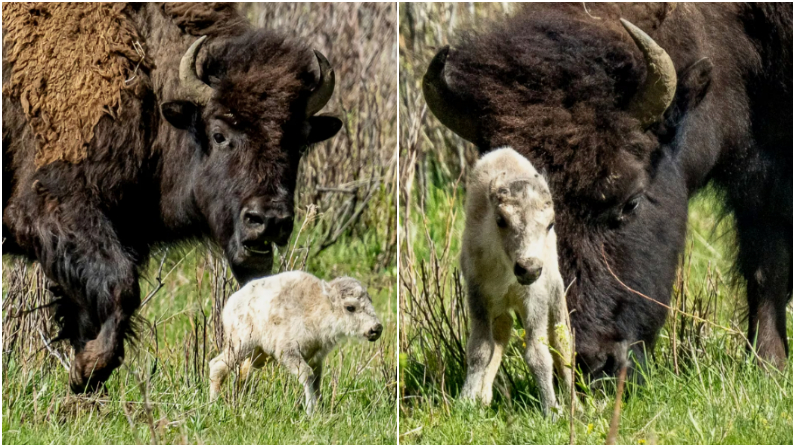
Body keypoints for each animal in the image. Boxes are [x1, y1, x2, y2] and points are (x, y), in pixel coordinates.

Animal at [3, 3, 346, 394]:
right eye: (219, 134)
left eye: (300, 143)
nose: (269, 220)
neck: (145, 79)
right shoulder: (50, 208)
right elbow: (121, 286)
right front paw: (90, 368)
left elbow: (91, 307)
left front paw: (85, 376)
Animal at [208, 272, 382, 414]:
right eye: (350, 307)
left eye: (370, 300)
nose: (376, 328)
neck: (317, 307)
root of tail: (230, 303)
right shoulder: (288, 352)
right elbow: (307, 375)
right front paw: (310, 411)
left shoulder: (316, 357)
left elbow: (316, 381)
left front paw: (321, 409)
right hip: (241, 345)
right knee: (217, 365)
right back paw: (214, 404)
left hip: (258, 355)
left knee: (242, 374)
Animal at [422, 3, 788, 380]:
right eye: (502, 219)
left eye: (632, 202)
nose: (592, 362)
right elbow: (762, 267)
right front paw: (768, 365)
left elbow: (769, 269)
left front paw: (768, 366)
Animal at [460, 147, 580, 416]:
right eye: (501, 220)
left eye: (550, 223)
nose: (529, 269)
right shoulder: (478, 296)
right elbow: (481, 348)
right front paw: (467, 399)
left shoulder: (534, 300)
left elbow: (539, 354)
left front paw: (552, 410)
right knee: (502, 331)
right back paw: (484, 396)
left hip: (556, 294)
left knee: (563, 343)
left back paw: (576, 405)